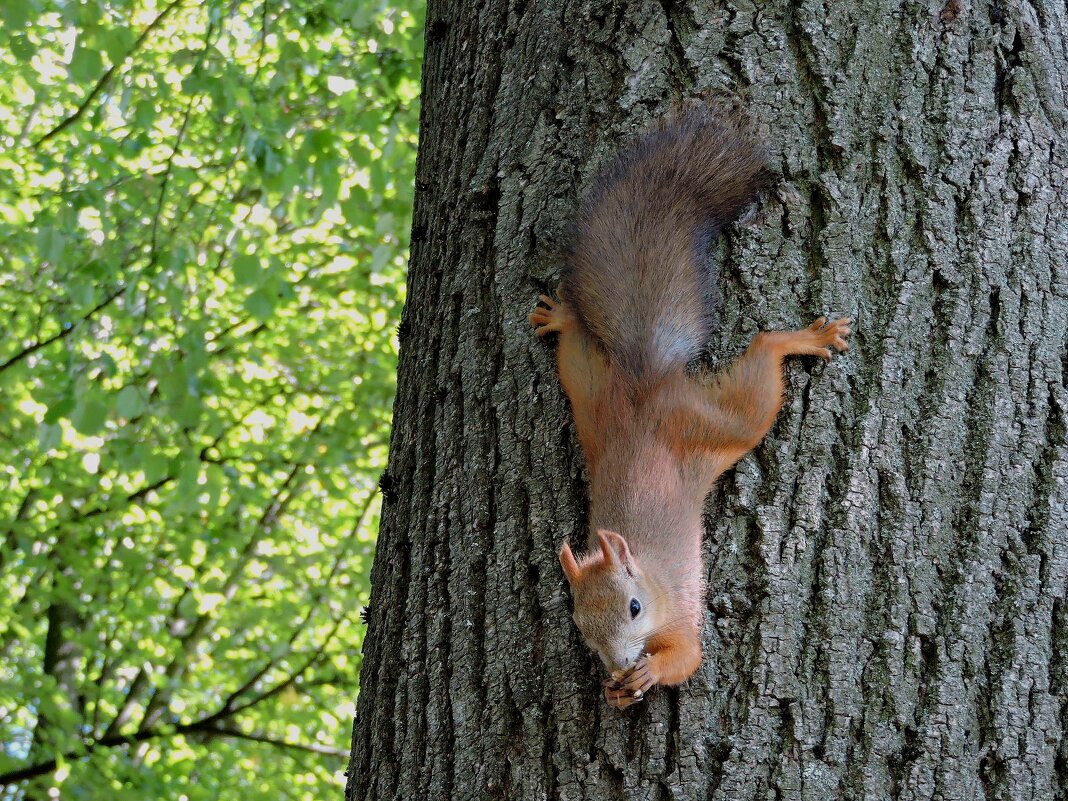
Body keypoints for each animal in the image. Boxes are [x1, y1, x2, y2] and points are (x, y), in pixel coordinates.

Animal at [527, 105, 850, 709]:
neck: (648, 578)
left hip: (718, 424)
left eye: (633, 607)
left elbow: (689, 657)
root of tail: (645, 383)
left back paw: (803, 339)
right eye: (579, 624)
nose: (618, 665)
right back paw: (559, 316)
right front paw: (617, 690)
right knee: (575, 348)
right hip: (589, 393)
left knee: (761, 364)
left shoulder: (678, 609)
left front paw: (650, 673)